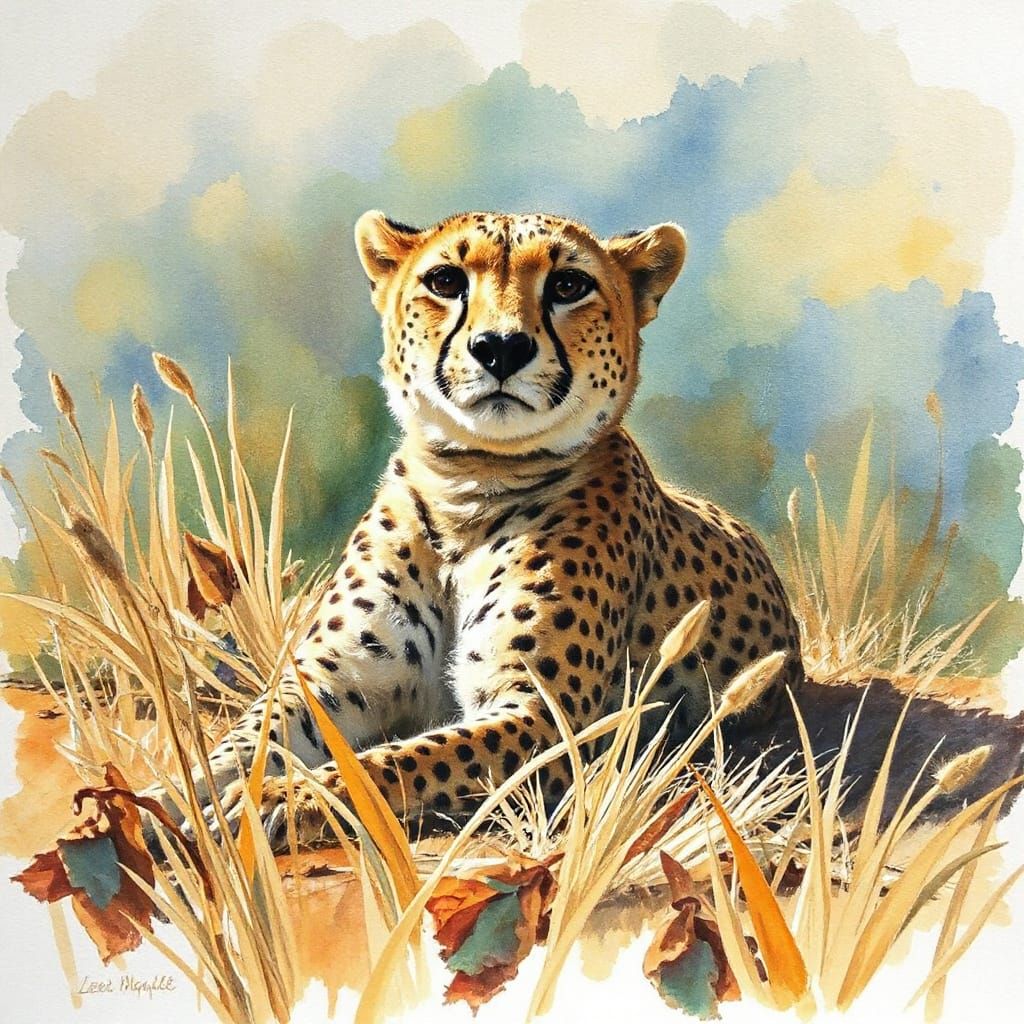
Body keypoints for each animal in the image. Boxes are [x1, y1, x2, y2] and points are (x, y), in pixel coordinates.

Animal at [176, 209, 804, 851]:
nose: (501, 348)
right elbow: (247, 738)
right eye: (446, 281)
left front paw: (283, 797)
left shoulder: (543, 716)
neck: (471, 486)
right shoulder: (334, 680)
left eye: (568, 285)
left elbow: (401, 761)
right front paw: (174, 797)